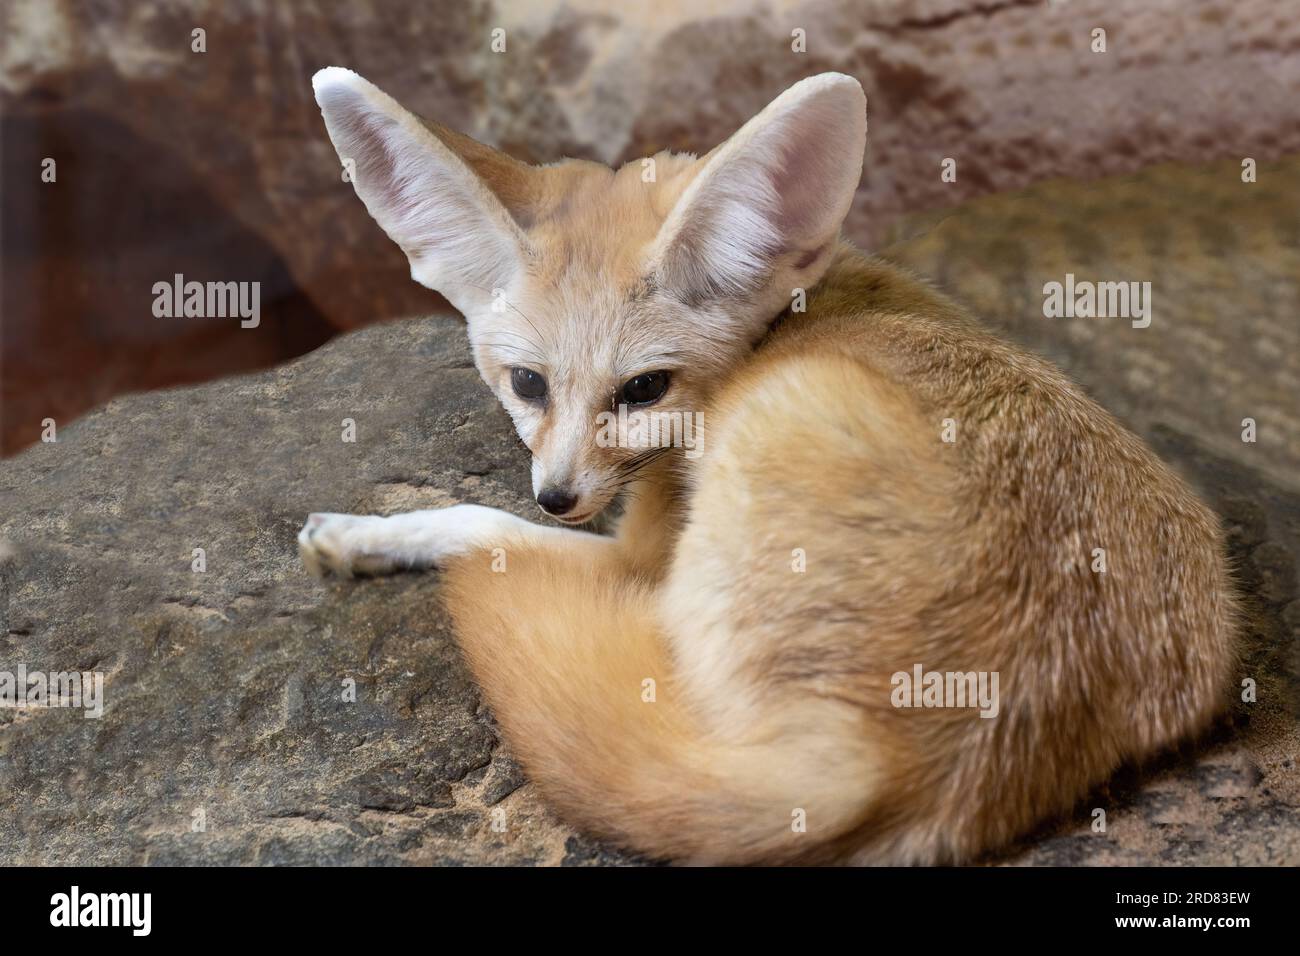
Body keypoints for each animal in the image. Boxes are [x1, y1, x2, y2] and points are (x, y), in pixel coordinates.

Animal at [301, 65, 1237, 858]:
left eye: (644, 389)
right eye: (527, 383)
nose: (559, 496)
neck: (795, 306)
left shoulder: (639, 550)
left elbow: (475, 518)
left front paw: (365, 532)